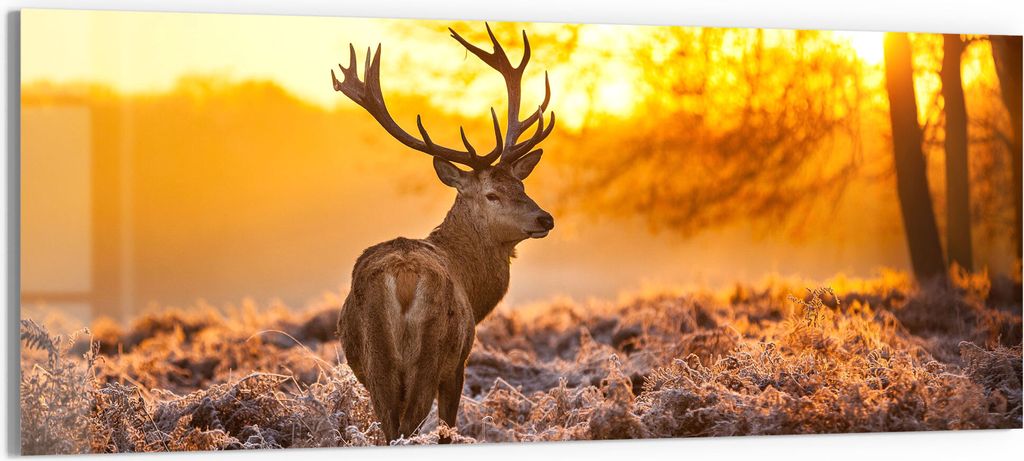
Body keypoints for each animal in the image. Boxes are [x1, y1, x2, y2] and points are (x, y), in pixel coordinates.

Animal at [332, 24, 556, 443]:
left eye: (521, 186)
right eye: (492, 193)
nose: (545, 219)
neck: (473, 285)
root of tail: (403, 278)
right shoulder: (459, 363)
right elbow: (448, 424)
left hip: (375, 361)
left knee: (390, 427)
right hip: (431, 353)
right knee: (409, 425)